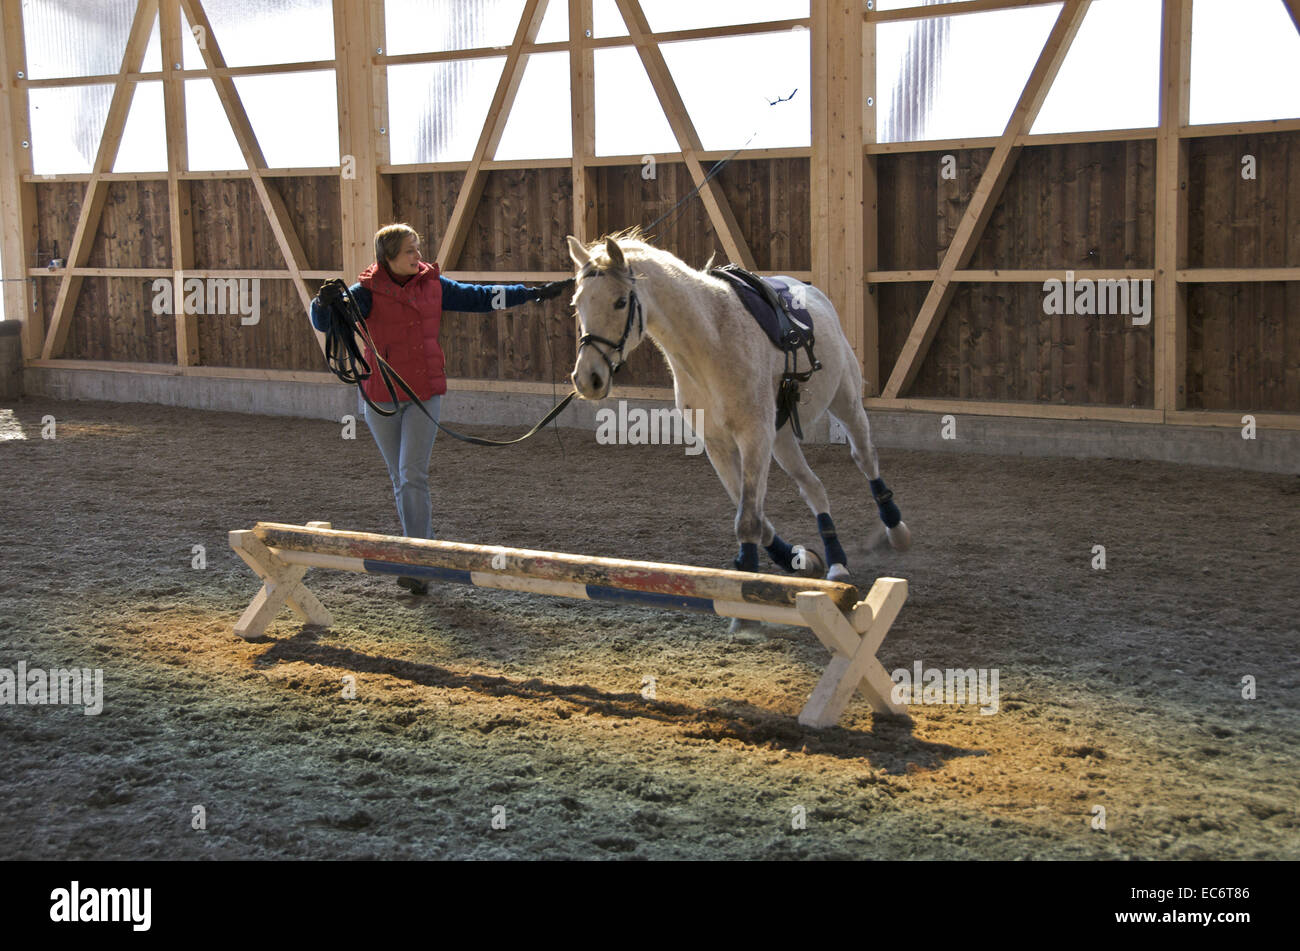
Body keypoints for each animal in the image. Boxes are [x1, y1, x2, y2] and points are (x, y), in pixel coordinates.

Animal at [564, 232, 909, 595]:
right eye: (577, 303)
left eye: (619, 302)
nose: (588, 378)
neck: (710, 344)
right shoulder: (718, 444)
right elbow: (754, 515)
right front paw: (795, 559)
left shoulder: (753, 437)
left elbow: (748, 520)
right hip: (782, 437)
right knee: (812, 486)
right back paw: (836, 561)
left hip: (845, 401)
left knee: (865, 458)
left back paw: (895, 530)